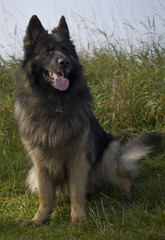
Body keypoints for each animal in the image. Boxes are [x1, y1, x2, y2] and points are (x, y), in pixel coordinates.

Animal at [14, 15, 161, 227]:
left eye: (66, 50)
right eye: (47, 51)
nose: (65, 62)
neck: (55, 103)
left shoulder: (78, 159)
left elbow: (76, 191)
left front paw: (78, 218)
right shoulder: (40, 162)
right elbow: (45, 196)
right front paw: (39, 218)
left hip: (109, 152)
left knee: (123, 176)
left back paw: (126, 192)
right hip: (34, 174)